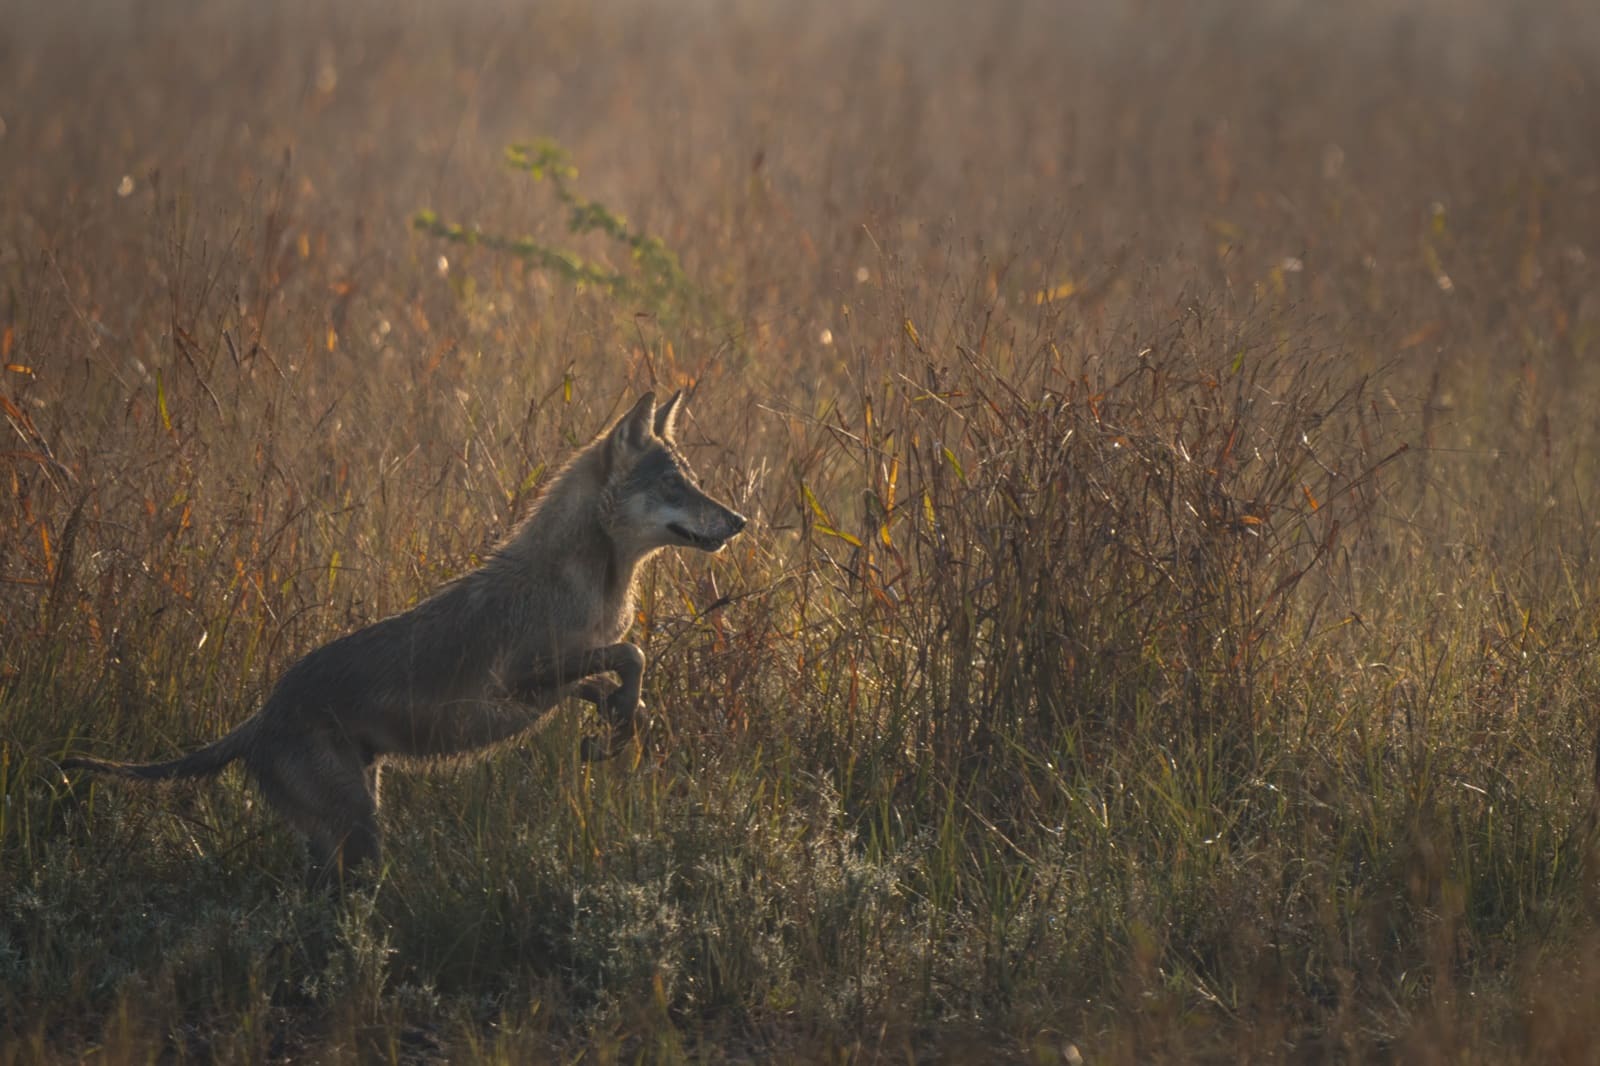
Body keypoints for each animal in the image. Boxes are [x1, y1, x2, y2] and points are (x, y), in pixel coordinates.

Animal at [61, 390, 746, 881]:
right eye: (674, 485)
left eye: (691, 479)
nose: (740, 520)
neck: (590, 579)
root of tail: (260, 717)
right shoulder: (519, 680)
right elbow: (632, 654)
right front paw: (613, 726)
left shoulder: (553, 681)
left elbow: (625, 688)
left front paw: (612, 730)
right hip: (359, 832)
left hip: (354, 818)